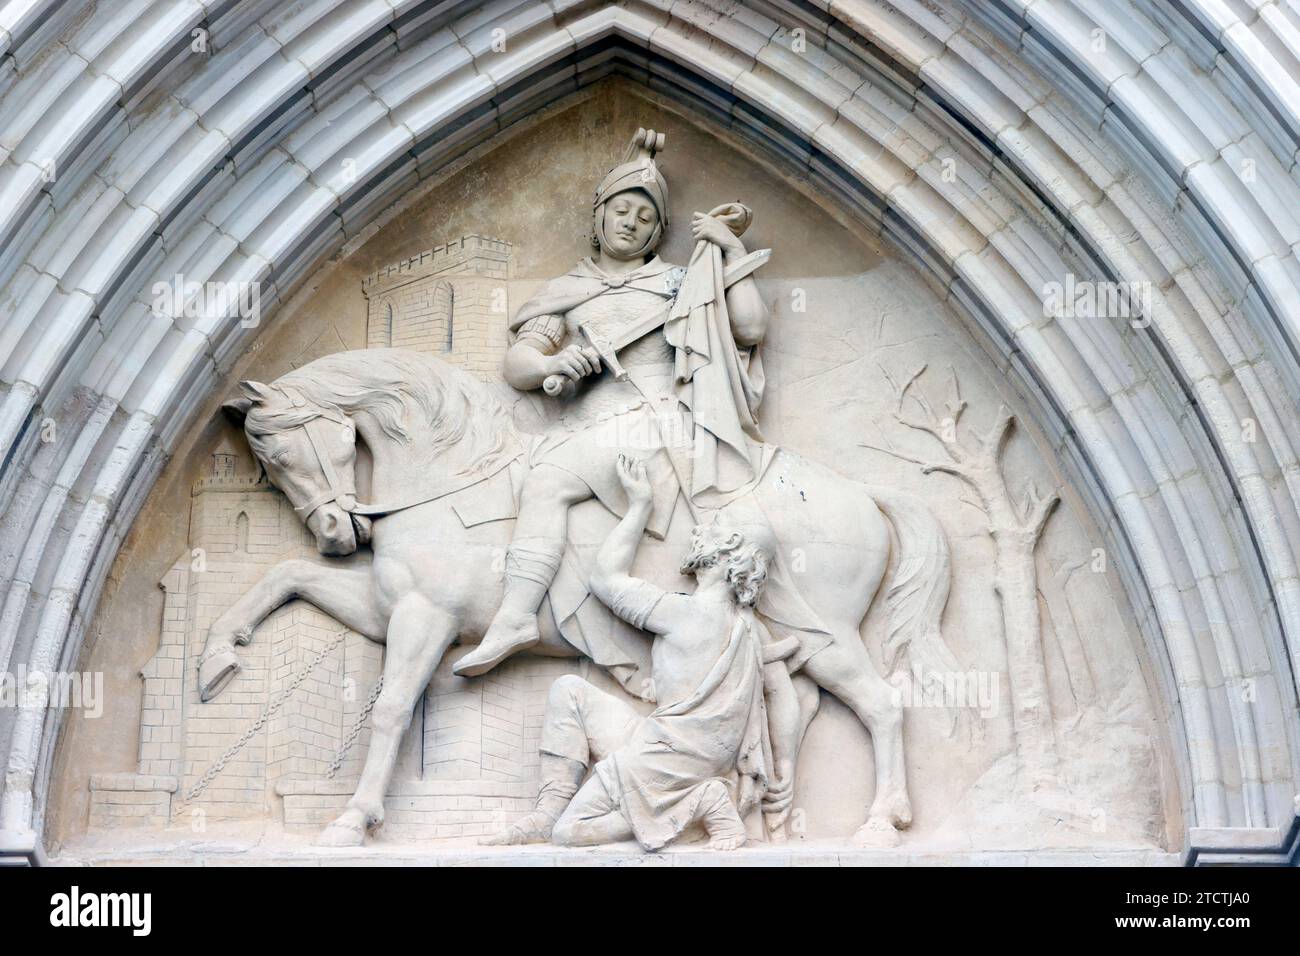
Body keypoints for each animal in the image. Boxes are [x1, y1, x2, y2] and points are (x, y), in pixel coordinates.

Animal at [202, 348, 956, 842]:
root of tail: (864, 491)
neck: (453, 481)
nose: (335, 533)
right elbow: (283, 577)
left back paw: (880, 822)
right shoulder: (388, 609)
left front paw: (353, 820)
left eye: (277, 454)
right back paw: (769, 814)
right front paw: (217, 657)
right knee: (796, 712)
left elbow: (390, 709)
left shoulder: (426, 617)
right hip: (792, 648)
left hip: (830, 638)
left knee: (883, 705)